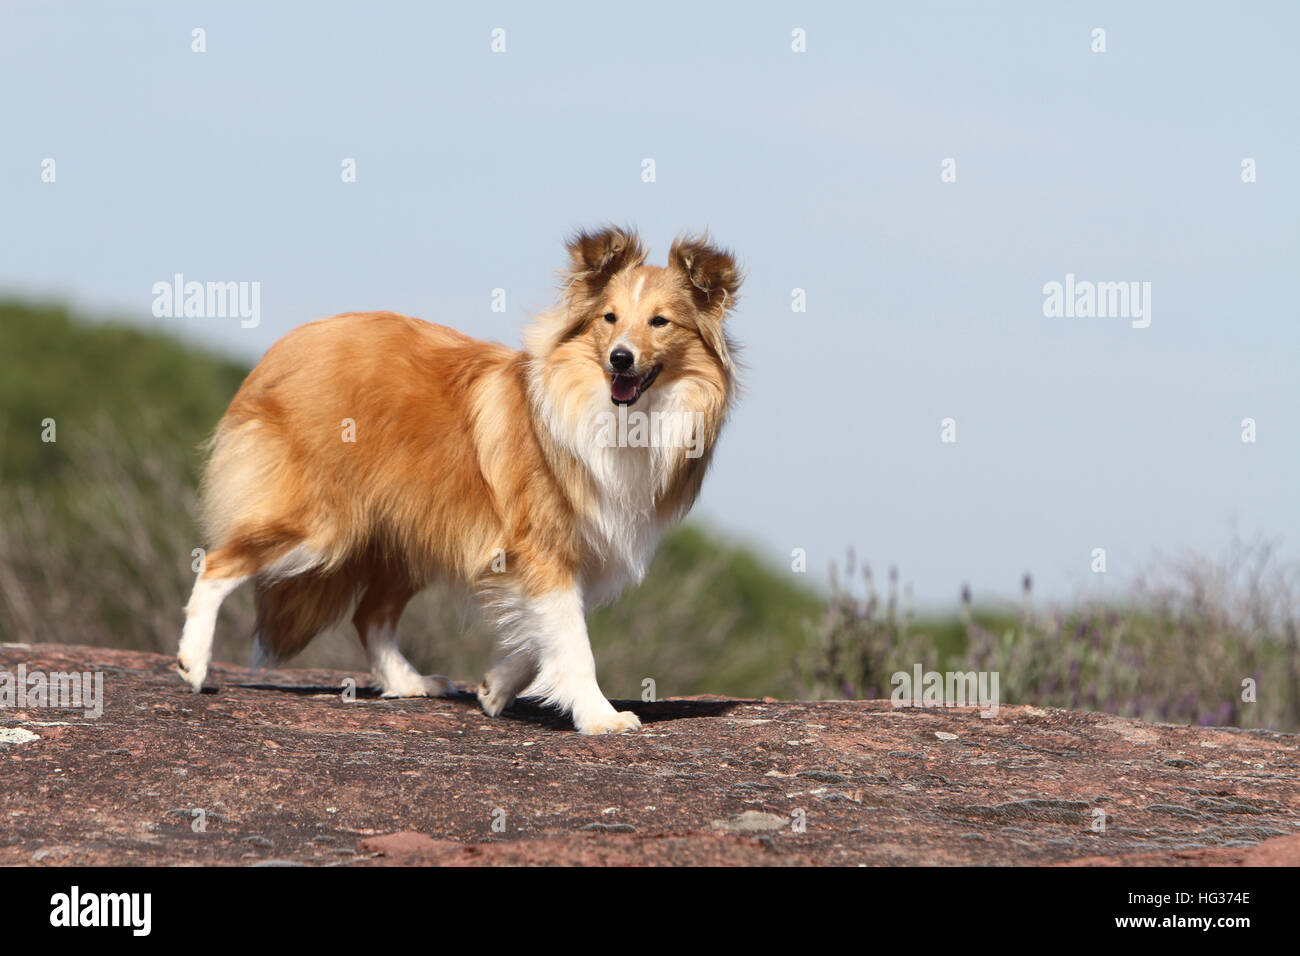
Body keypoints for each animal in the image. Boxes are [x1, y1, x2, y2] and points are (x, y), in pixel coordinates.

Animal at [176, 227, 743, 738]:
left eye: (660, 321)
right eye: (610, 318)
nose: (620, 358)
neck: (621, 414)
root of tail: (282, 350)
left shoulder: (557, 552)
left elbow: (544, 635)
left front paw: (495, 687)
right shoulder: (541, 546)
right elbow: (573, 642)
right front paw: (600, 717)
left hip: (406, 533)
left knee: (369, 616)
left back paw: (409, 683)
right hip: (319, 525)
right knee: (218, 563)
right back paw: (193, 664)